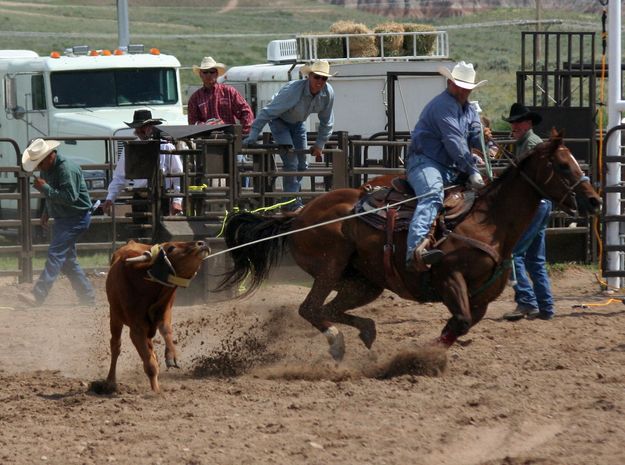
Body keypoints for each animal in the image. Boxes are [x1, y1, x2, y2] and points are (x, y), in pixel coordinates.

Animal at [218, 129, 600, 360]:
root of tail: (298, 215)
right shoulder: (449, 278)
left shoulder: (482, 300)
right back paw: (337, 342)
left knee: (331, 309)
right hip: (329, 267)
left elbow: (458, 325)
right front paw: (422, 356)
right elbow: (459, 320)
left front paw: (430, 352)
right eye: (562, 165)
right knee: (310, 309)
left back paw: (366, 332)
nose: (594, 201)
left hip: (364, 282)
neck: (487, 221)